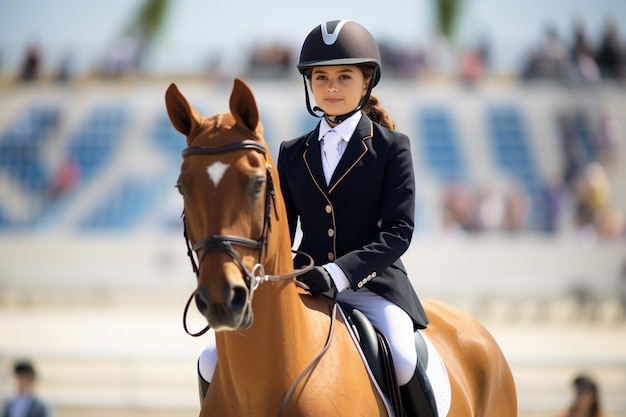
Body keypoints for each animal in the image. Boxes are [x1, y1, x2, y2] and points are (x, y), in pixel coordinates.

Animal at [163, 79, 516, 416]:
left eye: (257, 184)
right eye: (181, 187)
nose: (222, 299)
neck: (258, 391)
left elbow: (396, 228)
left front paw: (320, 276)